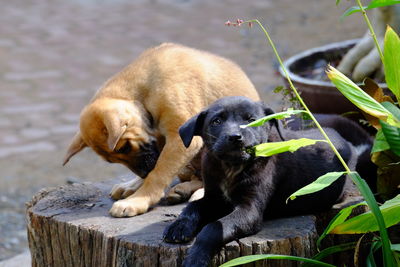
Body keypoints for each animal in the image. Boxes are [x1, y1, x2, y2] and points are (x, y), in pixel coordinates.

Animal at [62, 42, 260, 218]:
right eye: (112, 160)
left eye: (124, 147)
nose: (142, 174)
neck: (144, 92)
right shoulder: (161, 141)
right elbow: (157, 166)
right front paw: (135, 186)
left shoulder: (180, 140)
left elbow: (157, 173)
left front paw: (138, 200)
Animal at [164, 97, 364, 267]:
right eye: (216, 121)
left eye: (252, 120)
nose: (235, 137)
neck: (232, 167)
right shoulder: (214, 198)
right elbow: (193, 206)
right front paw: (179, 227)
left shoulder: (250, 210)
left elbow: (213, 227)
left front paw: (196, 258)